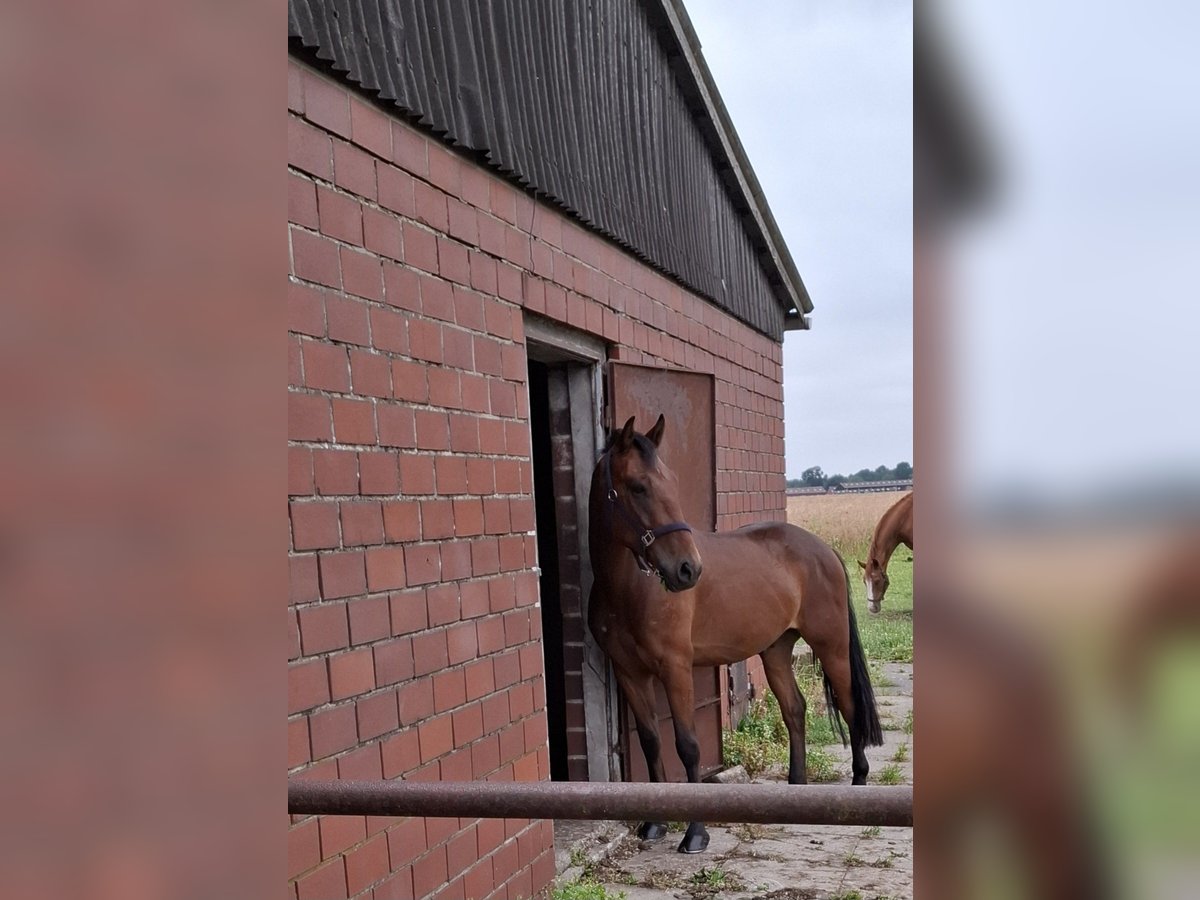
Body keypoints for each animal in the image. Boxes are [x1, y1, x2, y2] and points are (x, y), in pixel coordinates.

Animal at [587, 415, 883, 854]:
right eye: (638, 486)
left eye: (671, 482)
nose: (688, 569)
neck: (628, 590)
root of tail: (823, 549)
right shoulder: (629, 673)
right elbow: (651, 741)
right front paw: (654, 822)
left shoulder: (676, 668)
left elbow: (688, 746)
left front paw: (695, 832)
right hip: (775, 651)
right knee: (794, 709)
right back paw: (797, 790)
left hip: (832, 648)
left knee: (849, 707)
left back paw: (859, 783)